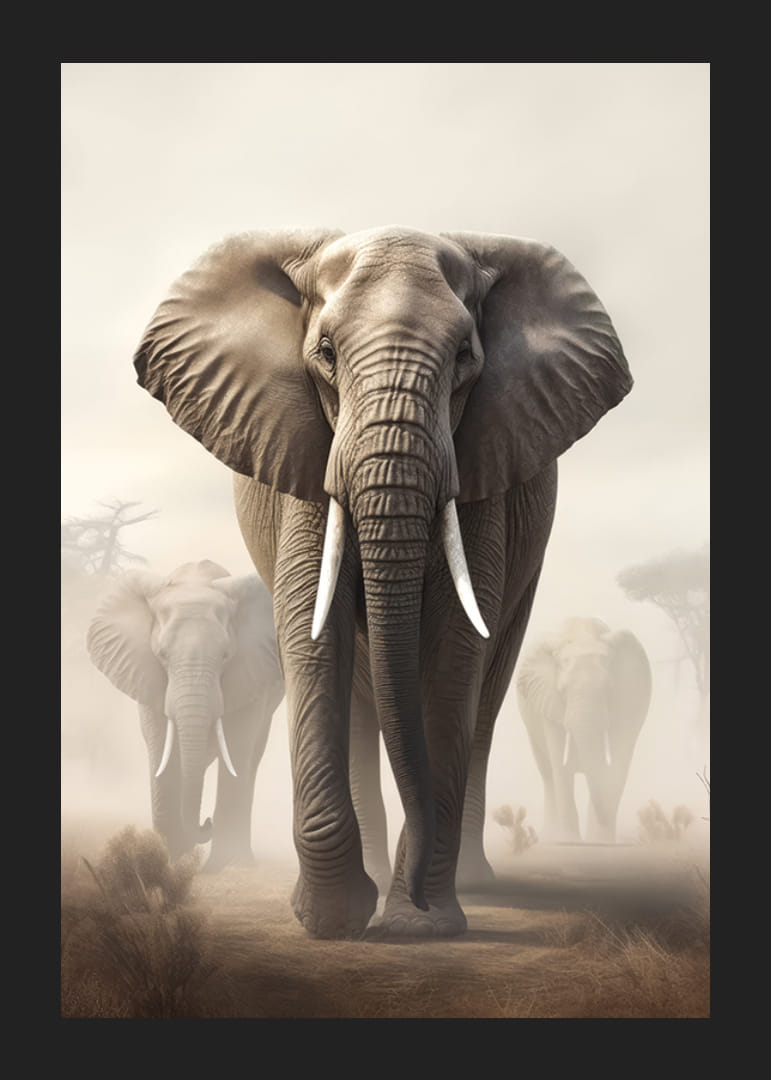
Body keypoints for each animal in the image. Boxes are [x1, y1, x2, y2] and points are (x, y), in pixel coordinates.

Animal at [86, 559, 285, 869]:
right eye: (162, 655)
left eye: (225, 656)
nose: (207, 822)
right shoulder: (147, 675)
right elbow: (160, 747)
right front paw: (169, 861)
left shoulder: (251, 674)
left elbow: (237, 744)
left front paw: (223, 866)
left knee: (251, 756)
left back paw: (240, 861)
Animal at [132, 225, 632, 937]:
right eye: (326, 353)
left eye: (464, 357)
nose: (416, 901)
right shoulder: (305, 454)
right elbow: (313, 634)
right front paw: (334, 922)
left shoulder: (483, 470)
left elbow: (455, 651)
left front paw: (422, 926)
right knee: (363, 701)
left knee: (485, 698)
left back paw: (470, 885)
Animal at [516, 617, 652, 844]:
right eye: (562, 691)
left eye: (609, 689)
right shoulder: (548, 701)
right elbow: (559, 765)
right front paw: (569, 842)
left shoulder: (628, 700)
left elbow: (619, 761)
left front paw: (603, 843)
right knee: (548, 774)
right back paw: (552, 836)